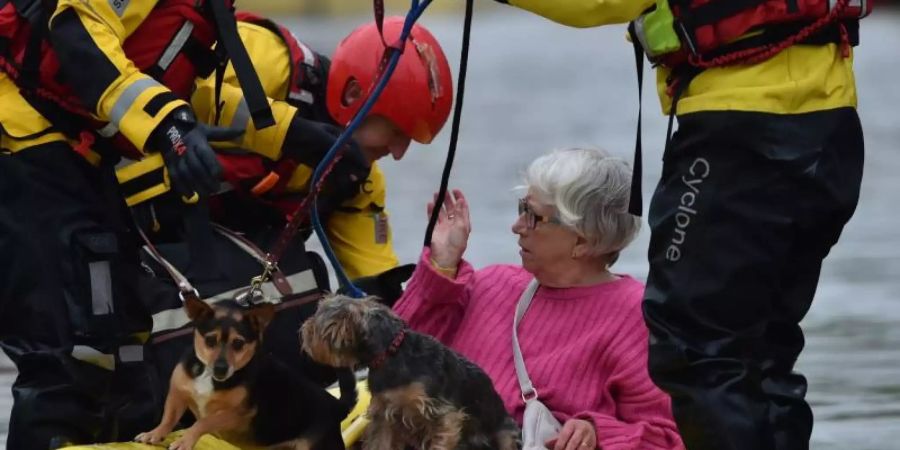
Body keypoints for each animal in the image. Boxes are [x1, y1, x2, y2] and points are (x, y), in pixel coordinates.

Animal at [137, 296, 356, 450]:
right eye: (210, 340)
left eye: (238, 343)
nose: (221, 368)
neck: (209, 378)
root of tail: (337, 406)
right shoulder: (177, 394)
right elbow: (168, 418)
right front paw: (154, 433)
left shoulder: (237, 414)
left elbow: (204, 421)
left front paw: (185, 440)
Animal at [300, 296, 520, 450]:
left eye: (314, 329)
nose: (302, 329)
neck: (390, 353)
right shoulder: (384, 414)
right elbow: (380, 442)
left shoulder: (442, 414)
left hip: (506, 433)